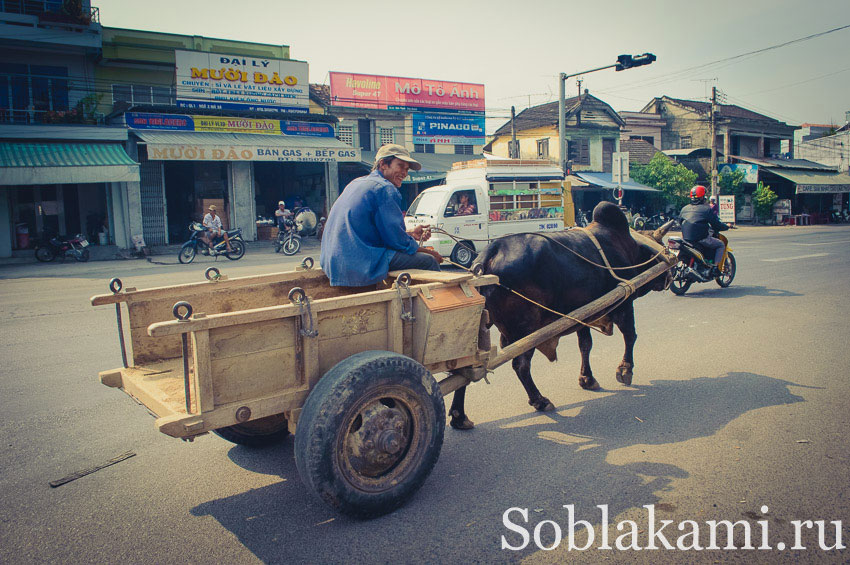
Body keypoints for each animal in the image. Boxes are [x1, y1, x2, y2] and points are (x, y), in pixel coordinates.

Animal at [448, 203, 672, 428]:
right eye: (661, 246)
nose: (671, 274)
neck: (628, 247)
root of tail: (488, 255)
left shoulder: (582, 314)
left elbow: (585, 345)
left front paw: (587, 379)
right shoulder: (625, 303)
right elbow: (630, 336)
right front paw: (625, 370)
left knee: (466, 368)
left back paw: (459, 416)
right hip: (525, 328)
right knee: (520, 366)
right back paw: (539, 400)